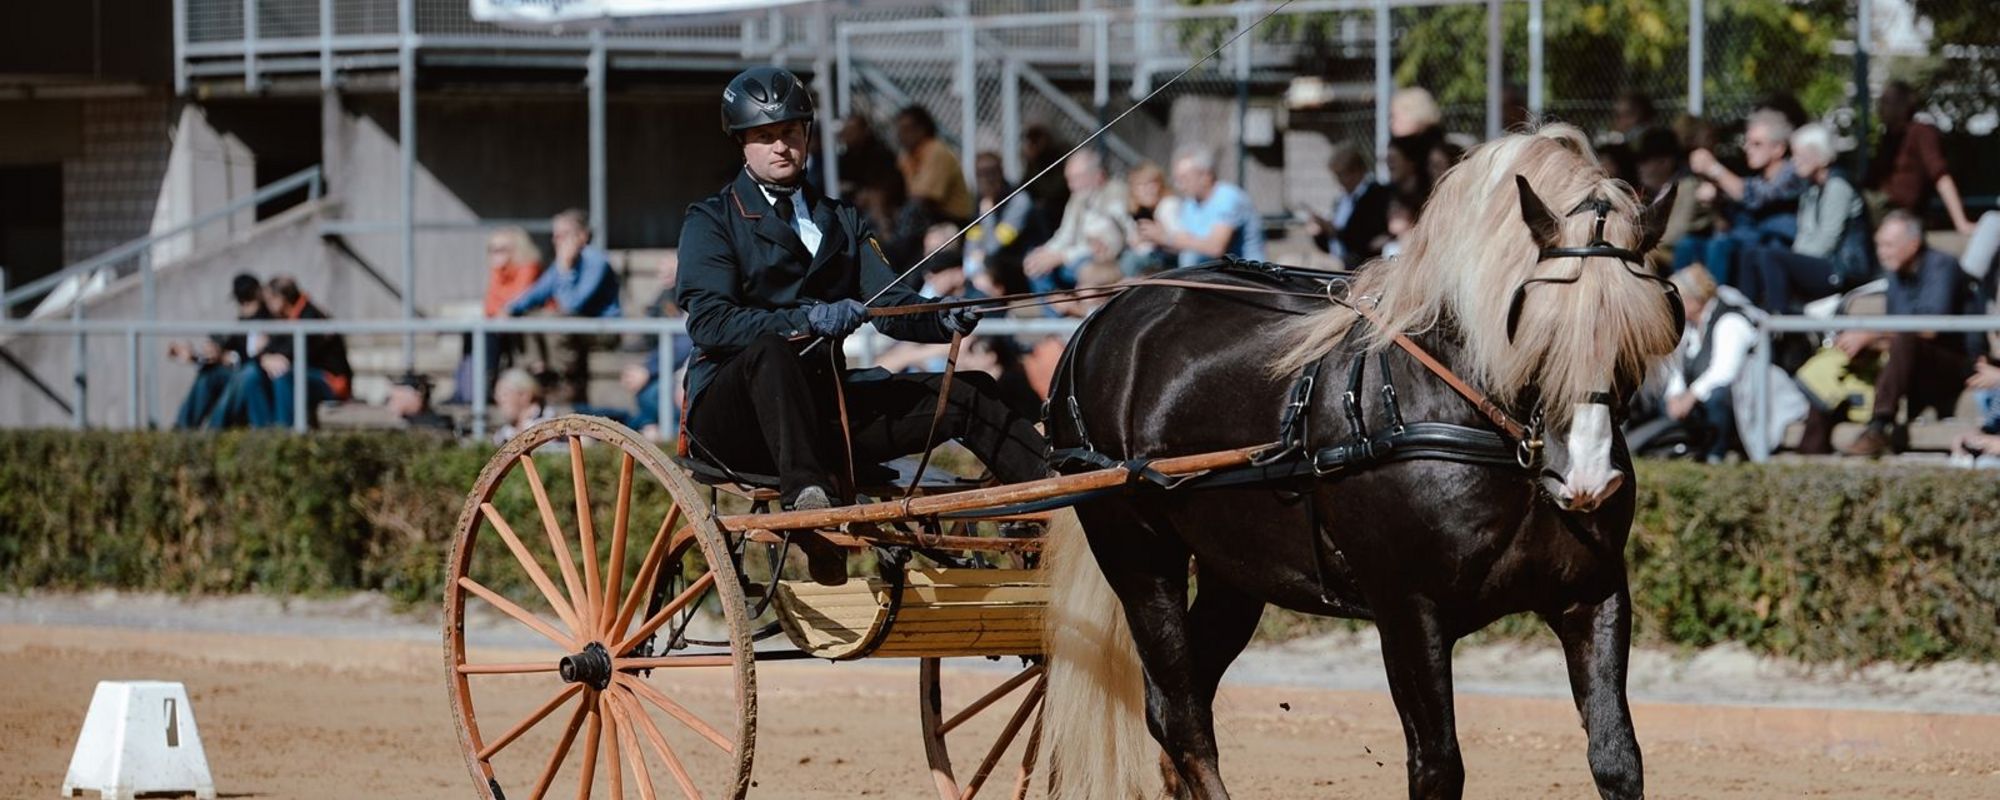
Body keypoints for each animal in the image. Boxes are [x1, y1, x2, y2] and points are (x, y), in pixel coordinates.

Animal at [1040, 126, 1680, 800]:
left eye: (1641, 328)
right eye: (1531, 324)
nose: (1587, 480)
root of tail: (1102, 319)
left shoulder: (1594, 595)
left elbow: (1617, 758)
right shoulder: (1407, 611)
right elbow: (1437, 765)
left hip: (1234, 571)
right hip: (1138, 555)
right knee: (1178, 714)